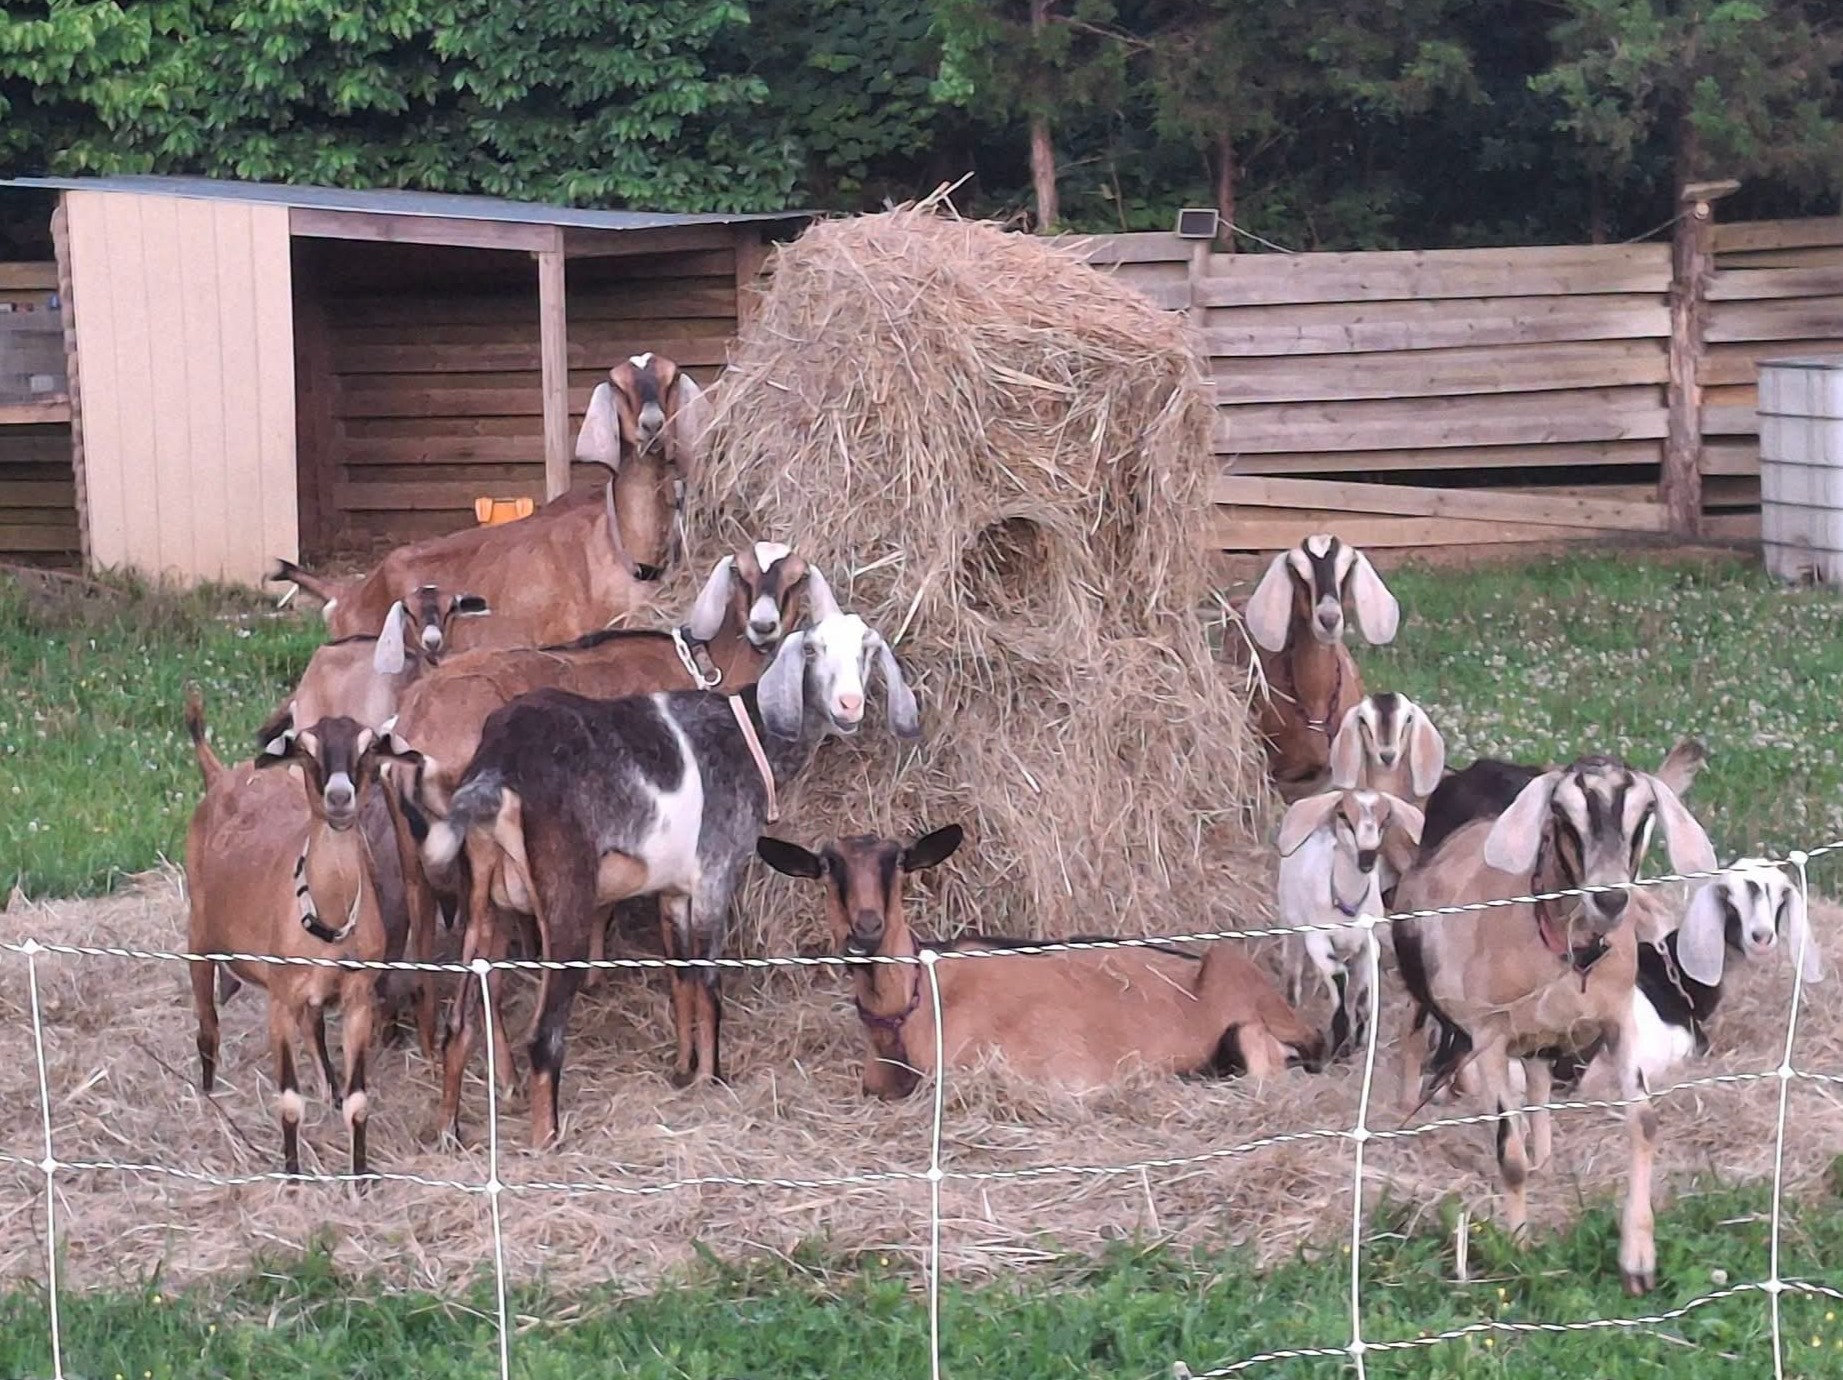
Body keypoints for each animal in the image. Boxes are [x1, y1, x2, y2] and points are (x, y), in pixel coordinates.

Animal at [183, 689, 419, 1180]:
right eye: (307, 751)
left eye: (368, 747)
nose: (340, 797)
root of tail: (219, 775)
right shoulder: (279, 998)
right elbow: (290, 1102)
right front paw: (292, 1177)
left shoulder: (357, 998)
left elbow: (358, 1101)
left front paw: (360, 1177)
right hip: (198, 933)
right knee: (207, 1026)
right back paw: (211, 1098)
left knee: (312, 1027)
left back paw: (328, 1087)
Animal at [422, 602, 924, 1147]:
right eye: (812, 650)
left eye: (867, 651)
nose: (849, 705)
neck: (745, 736)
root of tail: (499, 765)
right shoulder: (714, 877)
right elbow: (707, 981)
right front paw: (712, 1076)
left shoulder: (674, 892)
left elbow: (680, 977)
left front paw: (684, 1069)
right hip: (564, 899)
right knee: (543, 1034)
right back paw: (547, 1140)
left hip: (481, 902)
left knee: (459, 1023)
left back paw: (448, 1131)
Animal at [1274, 787, 1424, 1060]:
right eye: (1343, 814)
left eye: (1386, 818)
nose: (1367, 857)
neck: (1347, 904)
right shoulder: (1317, 939)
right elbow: (1338, 975)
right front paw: (1340, 1039)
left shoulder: (1369, 943)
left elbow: (1363, 991)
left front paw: (1359, 1038)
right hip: (1290, 918)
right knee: (1293, 962)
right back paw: (1293, 1001)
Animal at [1390, 752, 1718, 1294]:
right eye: (1562, 815)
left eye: (1644, 813)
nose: (1610, 900)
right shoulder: (1489, 1034)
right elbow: (1509, 1157)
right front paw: (1520, 1249)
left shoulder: (1618, 1020)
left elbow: (1644, 1122)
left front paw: (1638, 1259)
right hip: (1427, 991)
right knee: (1412, 1034)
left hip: (1538, 1035)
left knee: (1539, 1078)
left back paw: (1542, 1150)